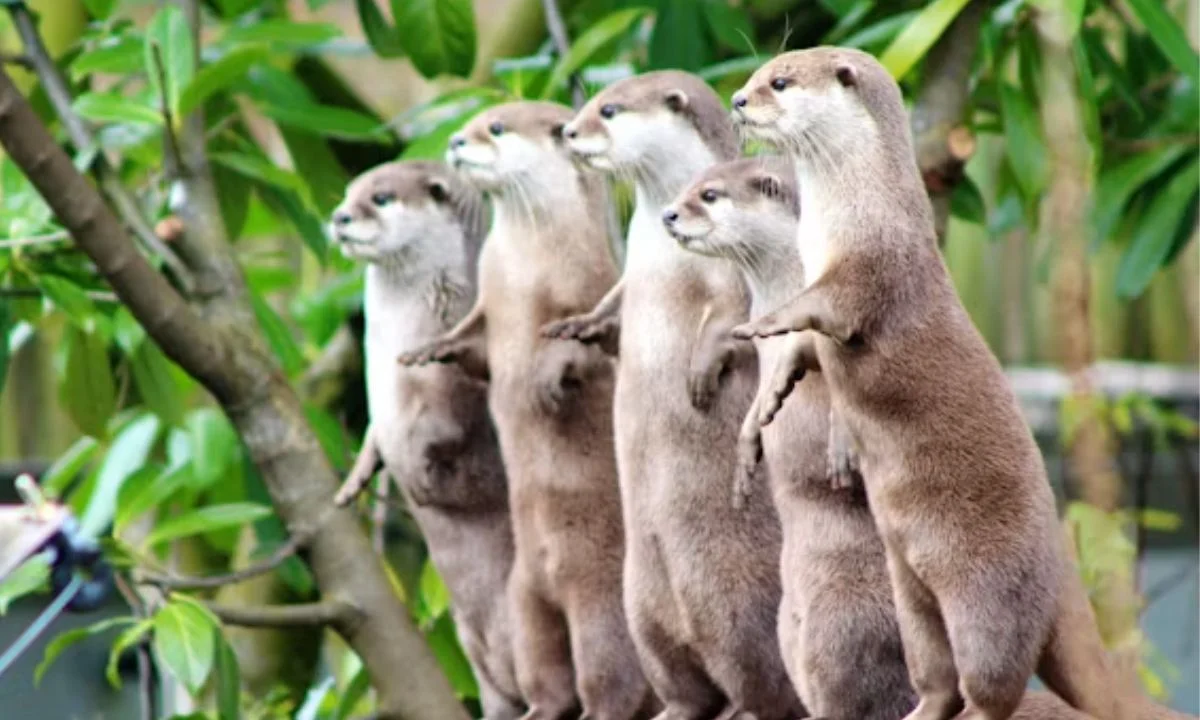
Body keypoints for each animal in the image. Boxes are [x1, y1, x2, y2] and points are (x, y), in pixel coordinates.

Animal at [328, 161, 523, 720]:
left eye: (382, 198)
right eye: (348, 192)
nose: (340, 217)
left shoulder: (453, 389)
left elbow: (452, 441)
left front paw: (417, 478)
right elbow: (375, 432)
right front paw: (354, 481)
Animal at [399, 102, 654, 720]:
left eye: (495, 128)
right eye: (474, 120)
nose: (455, 140)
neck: (522, 266)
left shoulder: (582, 285)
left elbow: (574, 343)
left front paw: (546, 382)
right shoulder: (490, 299)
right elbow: (471, 342)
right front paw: (428, 350)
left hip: (599, 604)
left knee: (610, 680)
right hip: (524, 602)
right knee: (545, 674)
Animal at [550, 72, 803, 719]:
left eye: (609, 110)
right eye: (590, 102)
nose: (568, 132)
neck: (661, 258)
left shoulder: (731, 277)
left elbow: (732, 319)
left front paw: (700, 373)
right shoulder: (630, 273)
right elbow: (613, 302)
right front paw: (582, 326)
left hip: (731, 600)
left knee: (762, 680)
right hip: (639, 601)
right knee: (684, 681)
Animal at [729, 47, 1181, 720]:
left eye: (779, 82)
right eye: (758, 74)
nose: (736, 99)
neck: (850, 214)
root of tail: (1061, 573)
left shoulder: (872, 266)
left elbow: (823, 309)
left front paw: (762, 323)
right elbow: (805, 350)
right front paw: (768, 397)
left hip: (987, 597)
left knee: (994, 683)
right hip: (911, 593)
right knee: (937, 675)